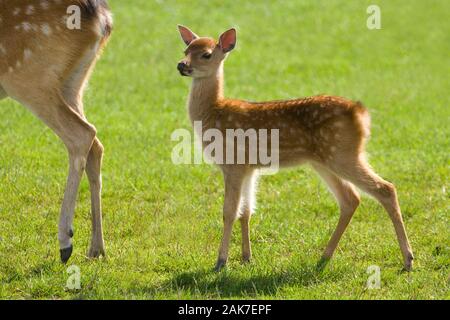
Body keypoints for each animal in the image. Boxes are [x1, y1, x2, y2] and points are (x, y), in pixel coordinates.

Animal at [0, 0, 112, 262]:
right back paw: (96, 248)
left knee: (82, 134)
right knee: (96, 145)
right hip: (73, 81)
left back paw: (66, 241)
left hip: (26, 76)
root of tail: (102, 18)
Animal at [177, 25, 414, 272]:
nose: (181, 65)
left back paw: (408, 260)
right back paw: (324, 258)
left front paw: (220, 262)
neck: (215, 112)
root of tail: (361, 113)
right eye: (185, 49)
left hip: (343, 154)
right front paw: (246, 257)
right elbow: (246, 211)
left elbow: (229, 212)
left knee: (385, 189)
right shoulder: (249, 167)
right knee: (350, 199)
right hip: (325, 160)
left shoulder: (233, 163)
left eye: (206, 54)